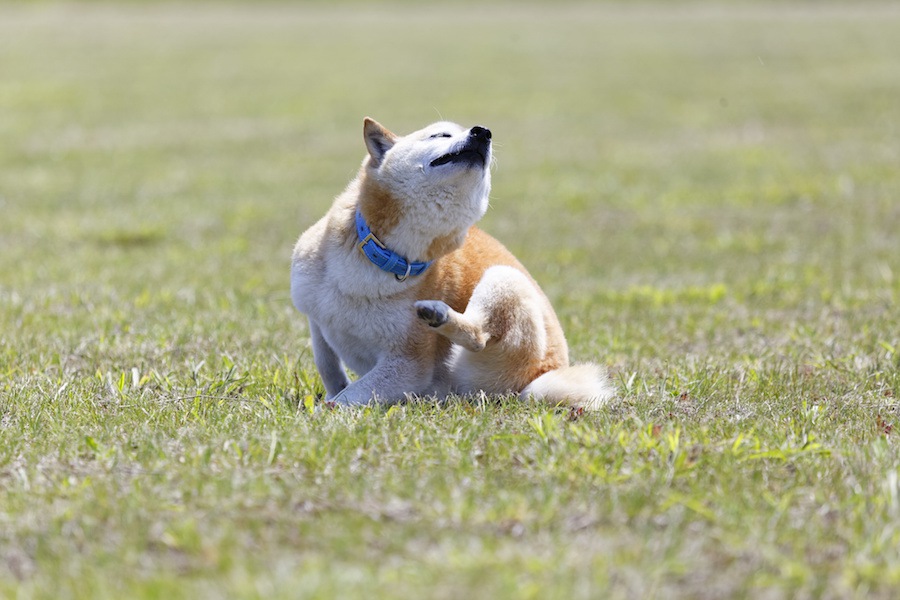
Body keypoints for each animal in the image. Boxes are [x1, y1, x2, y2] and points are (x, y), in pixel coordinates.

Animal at [292, 118, 616, 408]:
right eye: (440, 134)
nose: (483, 132)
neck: (387, 256)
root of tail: (543, 375)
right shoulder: (314, 314)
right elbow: (327, 365)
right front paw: (333, 391)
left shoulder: (409, 363)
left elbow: (349, 396)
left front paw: (325, 412)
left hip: (504, 282)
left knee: (478, 337)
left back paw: (439, 315)